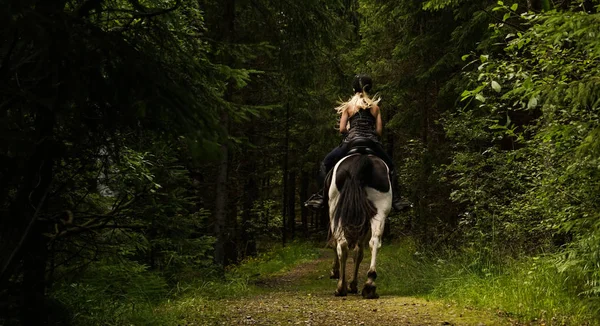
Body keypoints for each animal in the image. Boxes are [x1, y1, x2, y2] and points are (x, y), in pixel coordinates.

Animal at [326, 149, 392, 300]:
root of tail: (362, 159)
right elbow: (359, 252)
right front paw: (354, 284)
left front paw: (337, 274)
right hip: (380, 210)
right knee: (374, 242)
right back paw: (370, 285)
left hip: (335, 209)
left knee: (342, 244)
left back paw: (341, 287)